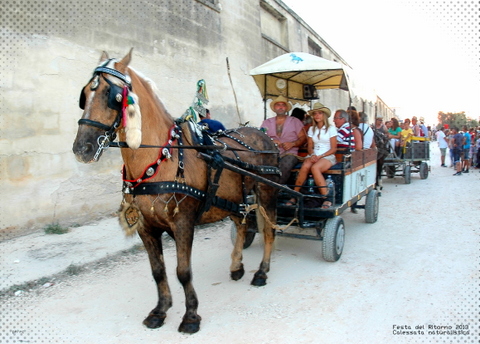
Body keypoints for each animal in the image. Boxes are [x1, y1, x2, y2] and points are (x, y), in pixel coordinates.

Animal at [72, 49, 280, 334]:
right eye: (84, 94)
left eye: (112, 96)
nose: (82, 148)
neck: (159, 161)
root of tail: (262, 134)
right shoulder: (146, 227)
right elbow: (158, 271)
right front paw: (160, 310)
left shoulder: (183, 223)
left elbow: (183, 271)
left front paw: (191, 316)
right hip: (232, 199)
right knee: (241, 225)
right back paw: (237, 266)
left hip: (266, 193)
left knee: (269, 231)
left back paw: (262, 272)